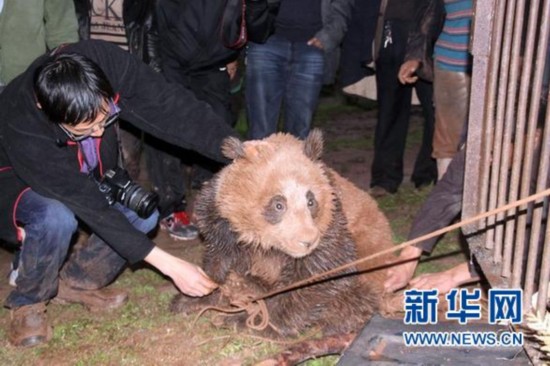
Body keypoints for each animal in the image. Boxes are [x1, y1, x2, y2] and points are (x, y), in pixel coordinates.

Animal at [172, 129, 396, 338]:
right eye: (279, 204)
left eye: (311, 201)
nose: (307, 241)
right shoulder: (222, 216)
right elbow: (219, 255)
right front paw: (195, 297)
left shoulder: (332, 221)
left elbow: (323, 269)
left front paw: (261, 322)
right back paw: (245, 286)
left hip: (370, 265)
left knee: (353, 298)